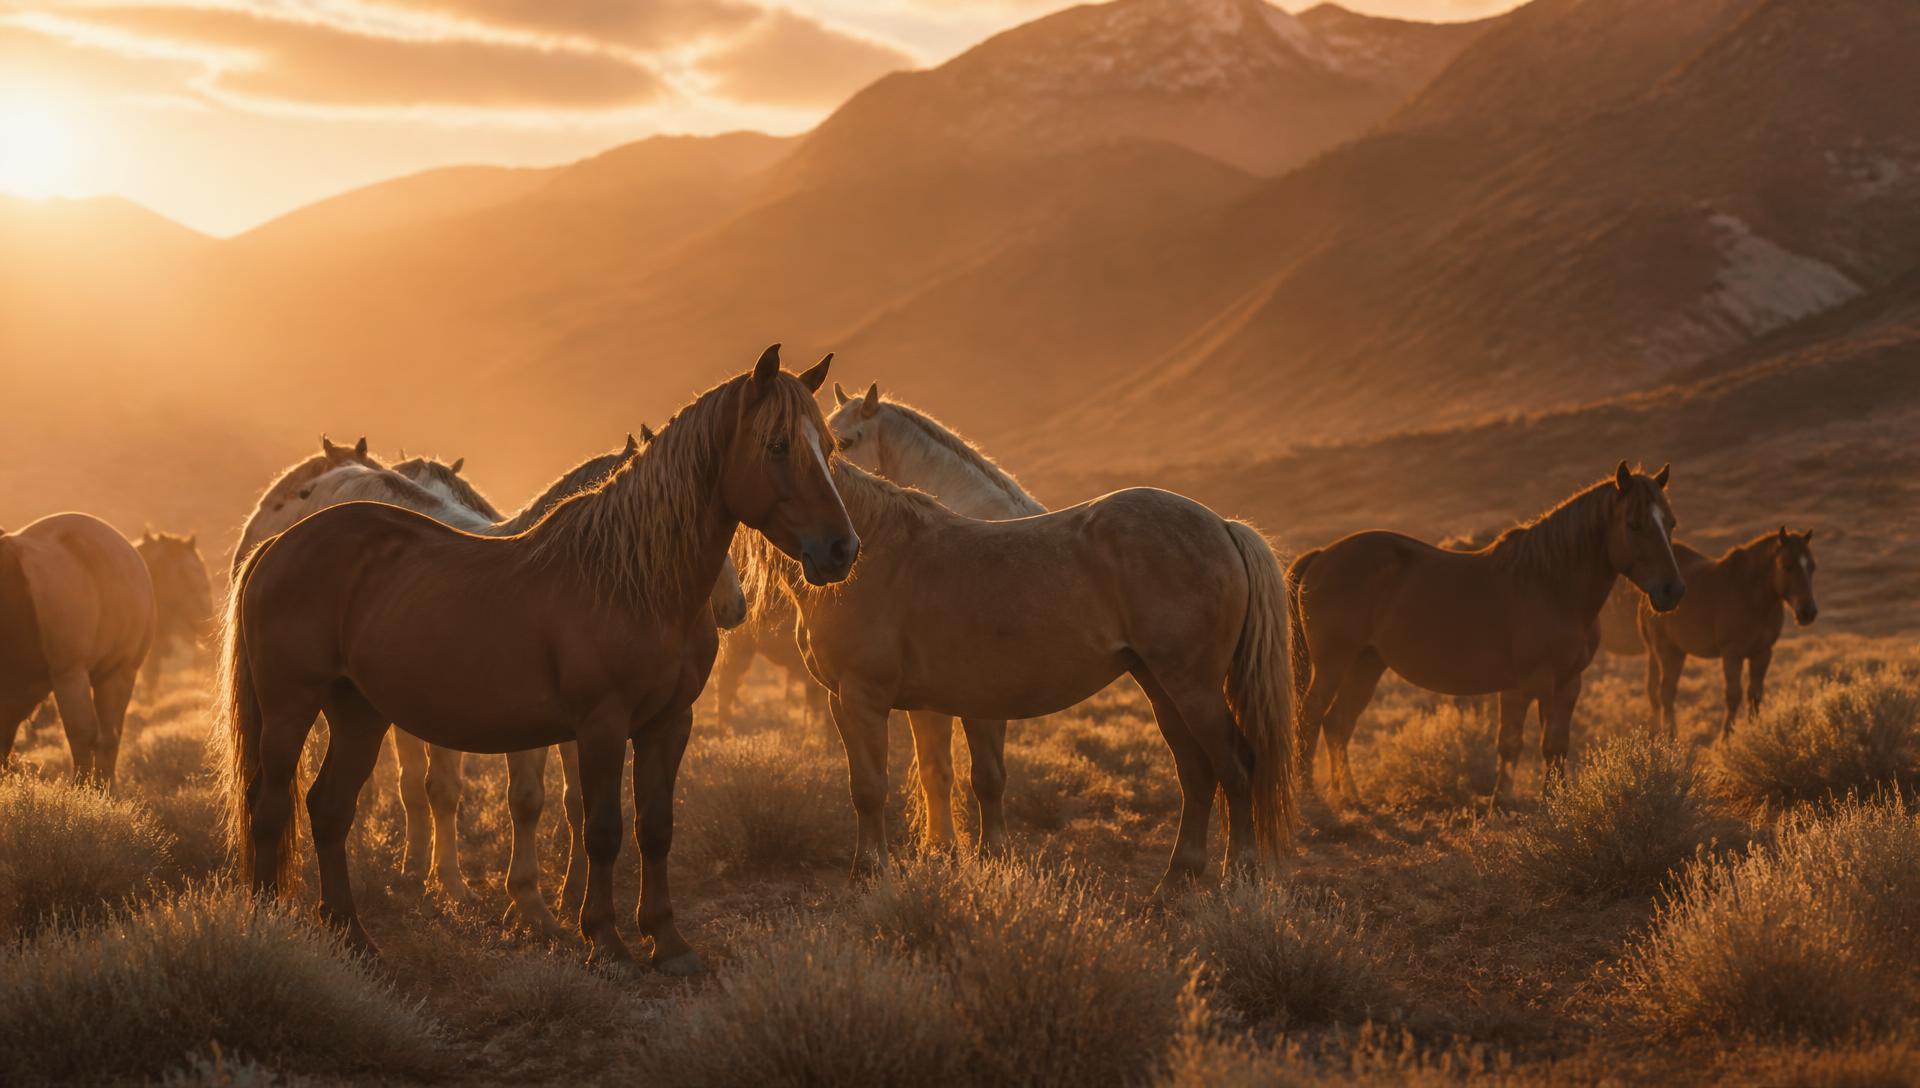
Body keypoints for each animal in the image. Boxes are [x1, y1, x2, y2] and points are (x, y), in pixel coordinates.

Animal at [389, 441, 749, 935]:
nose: (736, 607)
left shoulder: (584, 727)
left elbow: (579, 802)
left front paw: (573, 893)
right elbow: (526, 801)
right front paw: (528, 904)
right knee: (421, 787)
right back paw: (425, 874)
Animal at [738, 461, 1294, 892]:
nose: (834, 553)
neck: (877, 551)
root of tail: (1222, 525)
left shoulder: (860, 699)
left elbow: (869, 788)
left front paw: (869, 875)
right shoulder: (949, 703)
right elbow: (971, 780)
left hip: (1192, 689)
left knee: (1236, 768)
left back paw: (1240, 876)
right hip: (1162, 688)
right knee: (1196, 773)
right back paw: (1177, 878)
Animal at [1290, 464, 1685, 811]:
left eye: (1670, 523)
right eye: (1634, 524)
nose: (1672, 590)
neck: (1551, 587)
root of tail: (1323, 556)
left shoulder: (1568, 683)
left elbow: (1556, 745)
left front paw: (1556, 801)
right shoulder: (1524, 685)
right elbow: (1513, 744)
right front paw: (1505, 802)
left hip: (1367, 664)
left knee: (1338, 724)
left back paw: (1349, 797)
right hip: (1334, 663)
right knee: (1311, 716)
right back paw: (1310, 797)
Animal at [1641, 527, 1819, 740]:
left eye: (1812, 567)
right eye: (1787, 566)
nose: (1808, 612)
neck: (1751, 597)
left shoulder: (1763, 652)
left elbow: (1754, 695)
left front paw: (1754, 732)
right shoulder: (1732, 654)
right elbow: (1734, 695)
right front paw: (1725, 739)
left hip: (1663, 652)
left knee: (1654, 691)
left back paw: (1656, 732)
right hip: (1669, 651)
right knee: (1666, 692)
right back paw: (1670, 737)